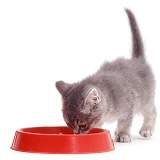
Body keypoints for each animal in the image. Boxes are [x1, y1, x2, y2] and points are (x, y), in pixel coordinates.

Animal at [55, 8, 156, 142]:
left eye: (82, 125)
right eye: (68, 124)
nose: (77, 134)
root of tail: (137, 60)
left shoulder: (128, 106)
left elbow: (125, 122)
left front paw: (123, 134)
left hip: (145, 99)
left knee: (152, 111)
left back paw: (147, 128)